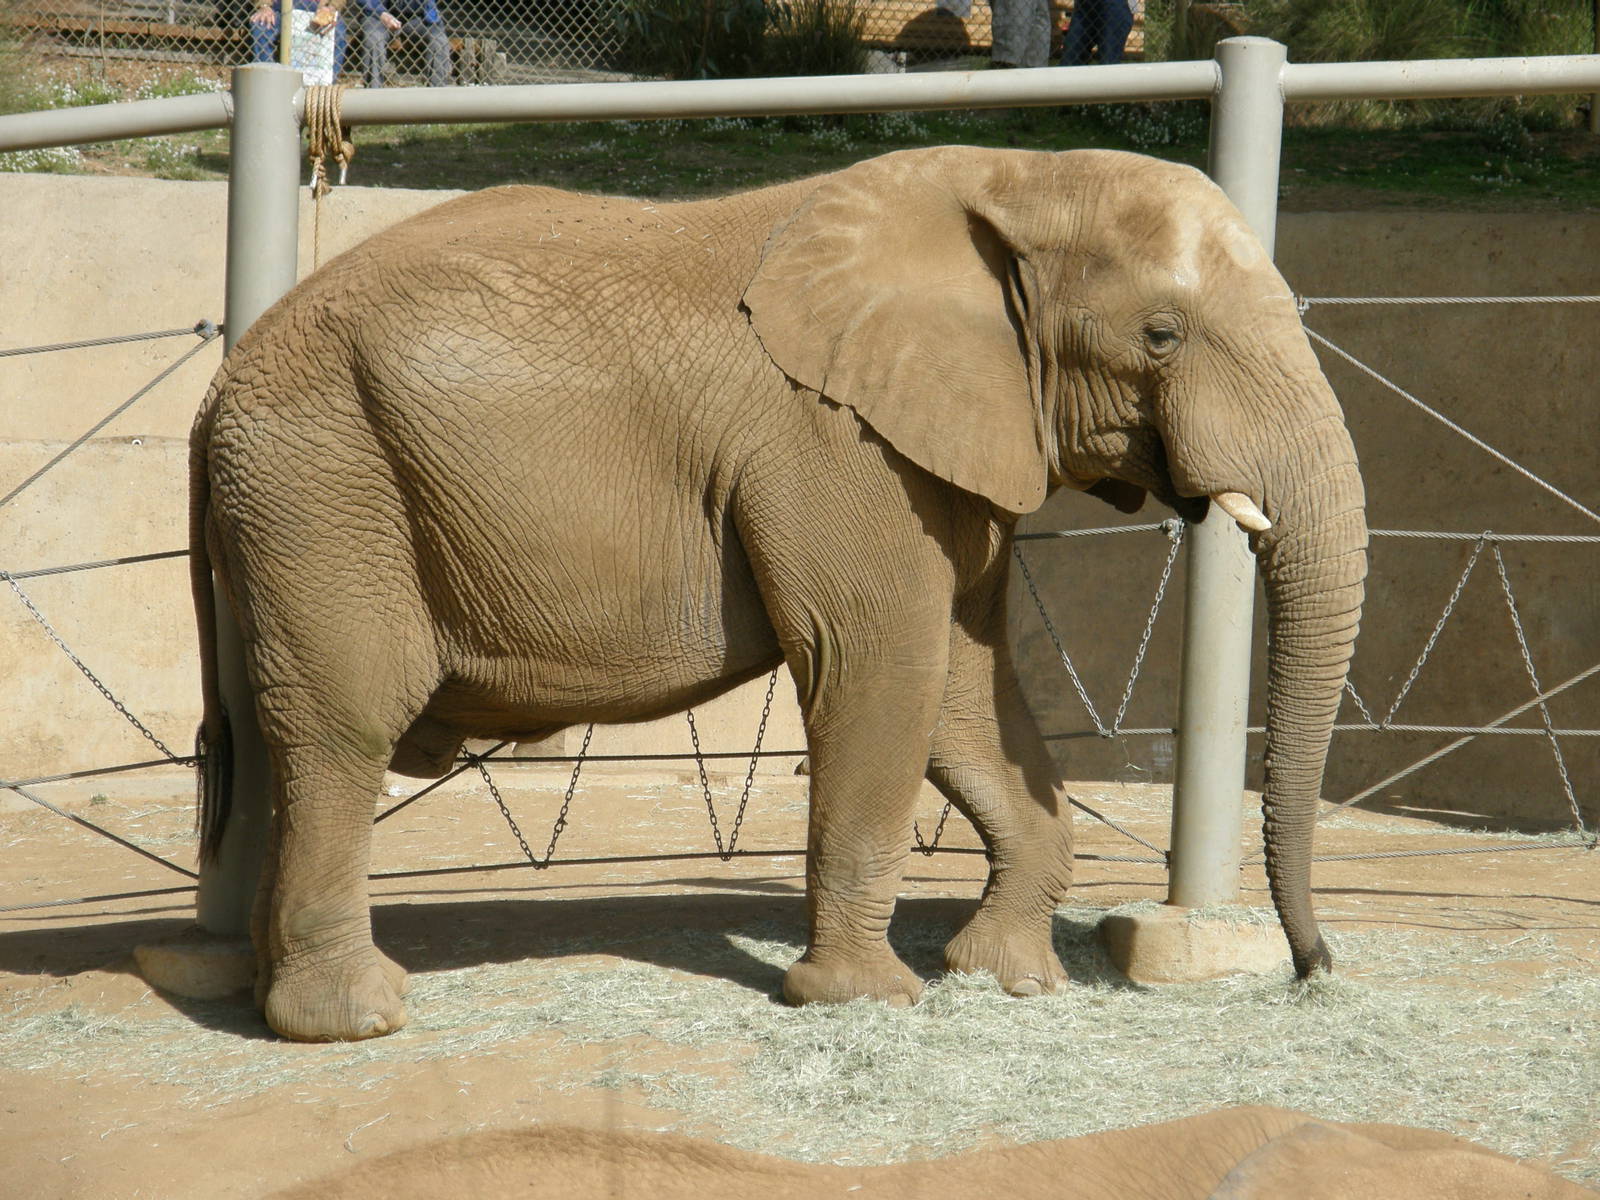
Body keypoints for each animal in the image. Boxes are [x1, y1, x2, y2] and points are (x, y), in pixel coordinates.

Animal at [190, 145, 1366, 1042]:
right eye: (1161, 335)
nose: (1316, 969)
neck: (1012, 175)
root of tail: (217, 390)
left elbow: (964, 688)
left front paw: (1007, 979)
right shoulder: (836, 443)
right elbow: (879, 663)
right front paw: (866, 1002)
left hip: (286, 507)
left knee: (279, 732)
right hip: (325, 489)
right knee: (343, 727)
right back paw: (356, 1021)